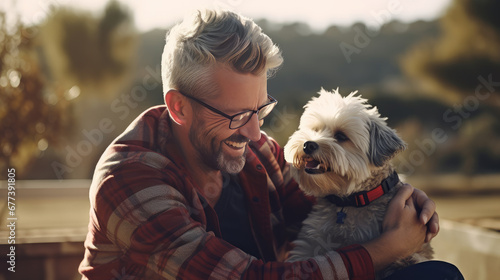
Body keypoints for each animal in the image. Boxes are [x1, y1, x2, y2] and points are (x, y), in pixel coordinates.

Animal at [284, 89, 432, 278]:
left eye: (341, 136)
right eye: (315, 130)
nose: (308, 145)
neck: (351, 201)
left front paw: (405, 261)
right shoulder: (311, 241)